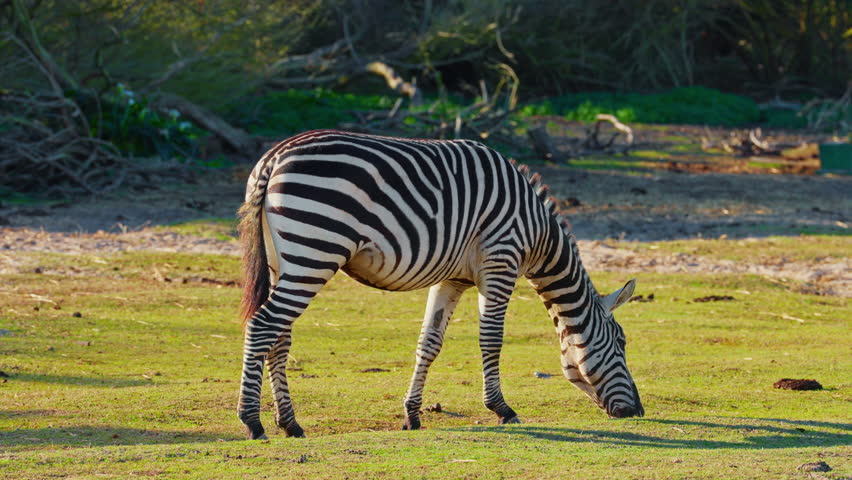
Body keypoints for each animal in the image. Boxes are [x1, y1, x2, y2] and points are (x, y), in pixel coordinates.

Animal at [237, 129, 643, 439]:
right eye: (622, 342)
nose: (638, 411)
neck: (537, 232)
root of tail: (273, 156)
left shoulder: (453, 278)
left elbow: (429, 343)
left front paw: (412, 414)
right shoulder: (500, 260)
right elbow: (491, 339)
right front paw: (502, 409)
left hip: (283, 261)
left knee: (279, 336)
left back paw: (290, 424)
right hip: (316, 251)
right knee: (263, 326)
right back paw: (253, 422)